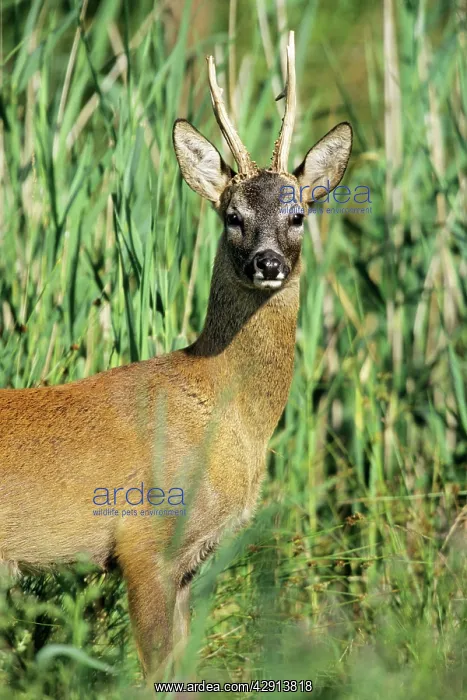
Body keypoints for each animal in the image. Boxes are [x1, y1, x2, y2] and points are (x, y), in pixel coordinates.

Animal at [0, 32, 352, 679]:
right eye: (232, 217)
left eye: (297, 214)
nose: (267, 262)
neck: (223, 412)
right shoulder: (145, 544)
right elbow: (155, 675)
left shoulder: (189, 562)